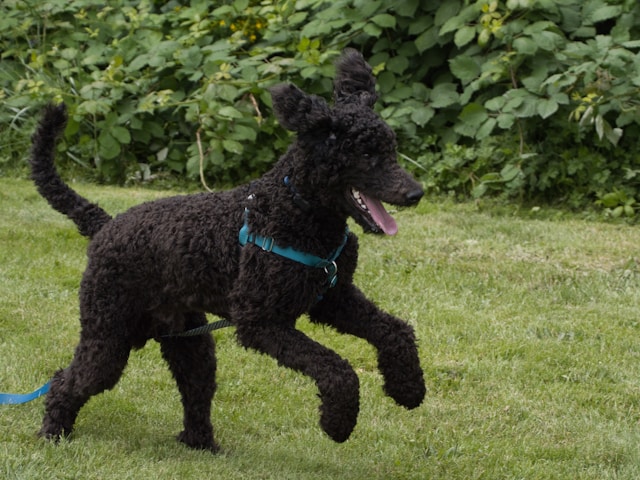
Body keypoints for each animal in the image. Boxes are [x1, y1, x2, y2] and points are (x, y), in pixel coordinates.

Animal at [32, 50, 428, 452]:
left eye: (391, 149)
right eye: (366, 154)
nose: (416, 193)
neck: (293, 209)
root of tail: (105, 225)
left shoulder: (333, 298)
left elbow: (395, 330)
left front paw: (408, 388)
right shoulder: (261, 321)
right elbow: (336, 368)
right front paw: (338, 423)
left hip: (189, 343)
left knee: (195, 389)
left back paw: (201, 444)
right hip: (108, 335)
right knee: (67, 381)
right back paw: (53, 432)